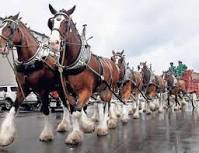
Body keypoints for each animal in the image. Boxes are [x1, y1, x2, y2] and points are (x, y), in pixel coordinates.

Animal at [47, 4, 124, 143]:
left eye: (66, 22)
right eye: (52, 22)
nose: (53, 43)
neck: (75, 61)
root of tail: (113, 65)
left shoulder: (86, 91)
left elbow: (78, 111)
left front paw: (80, 131)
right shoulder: (67, 92)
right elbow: (73, 111)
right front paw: (80, 129)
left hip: (110, 88)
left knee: (107, 104)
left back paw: (104, 126)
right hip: (101, 89)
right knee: (102, 103)